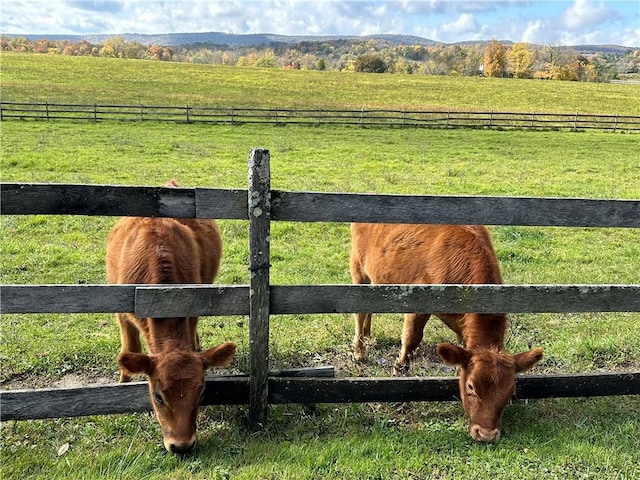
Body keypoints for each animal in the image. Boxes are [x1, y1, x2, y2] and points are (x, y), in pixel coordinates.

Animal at [106, 181, 236, 454]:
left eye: (201, 392)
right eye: (158, 396)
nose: (182, 445)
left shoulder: (193, 307)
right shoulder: (121, 311)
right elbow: (129, 349)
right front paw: (121, 388)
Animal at [350, 224, 544, 442]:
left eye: (511, 392)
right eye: (471, 387)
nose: (486, 434)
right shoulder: (419, 300)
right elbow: (411, 339)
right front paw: (398, 371)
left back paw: (368, 335)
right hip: (358, 267)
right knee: (359, 311)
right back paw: (359, 350)